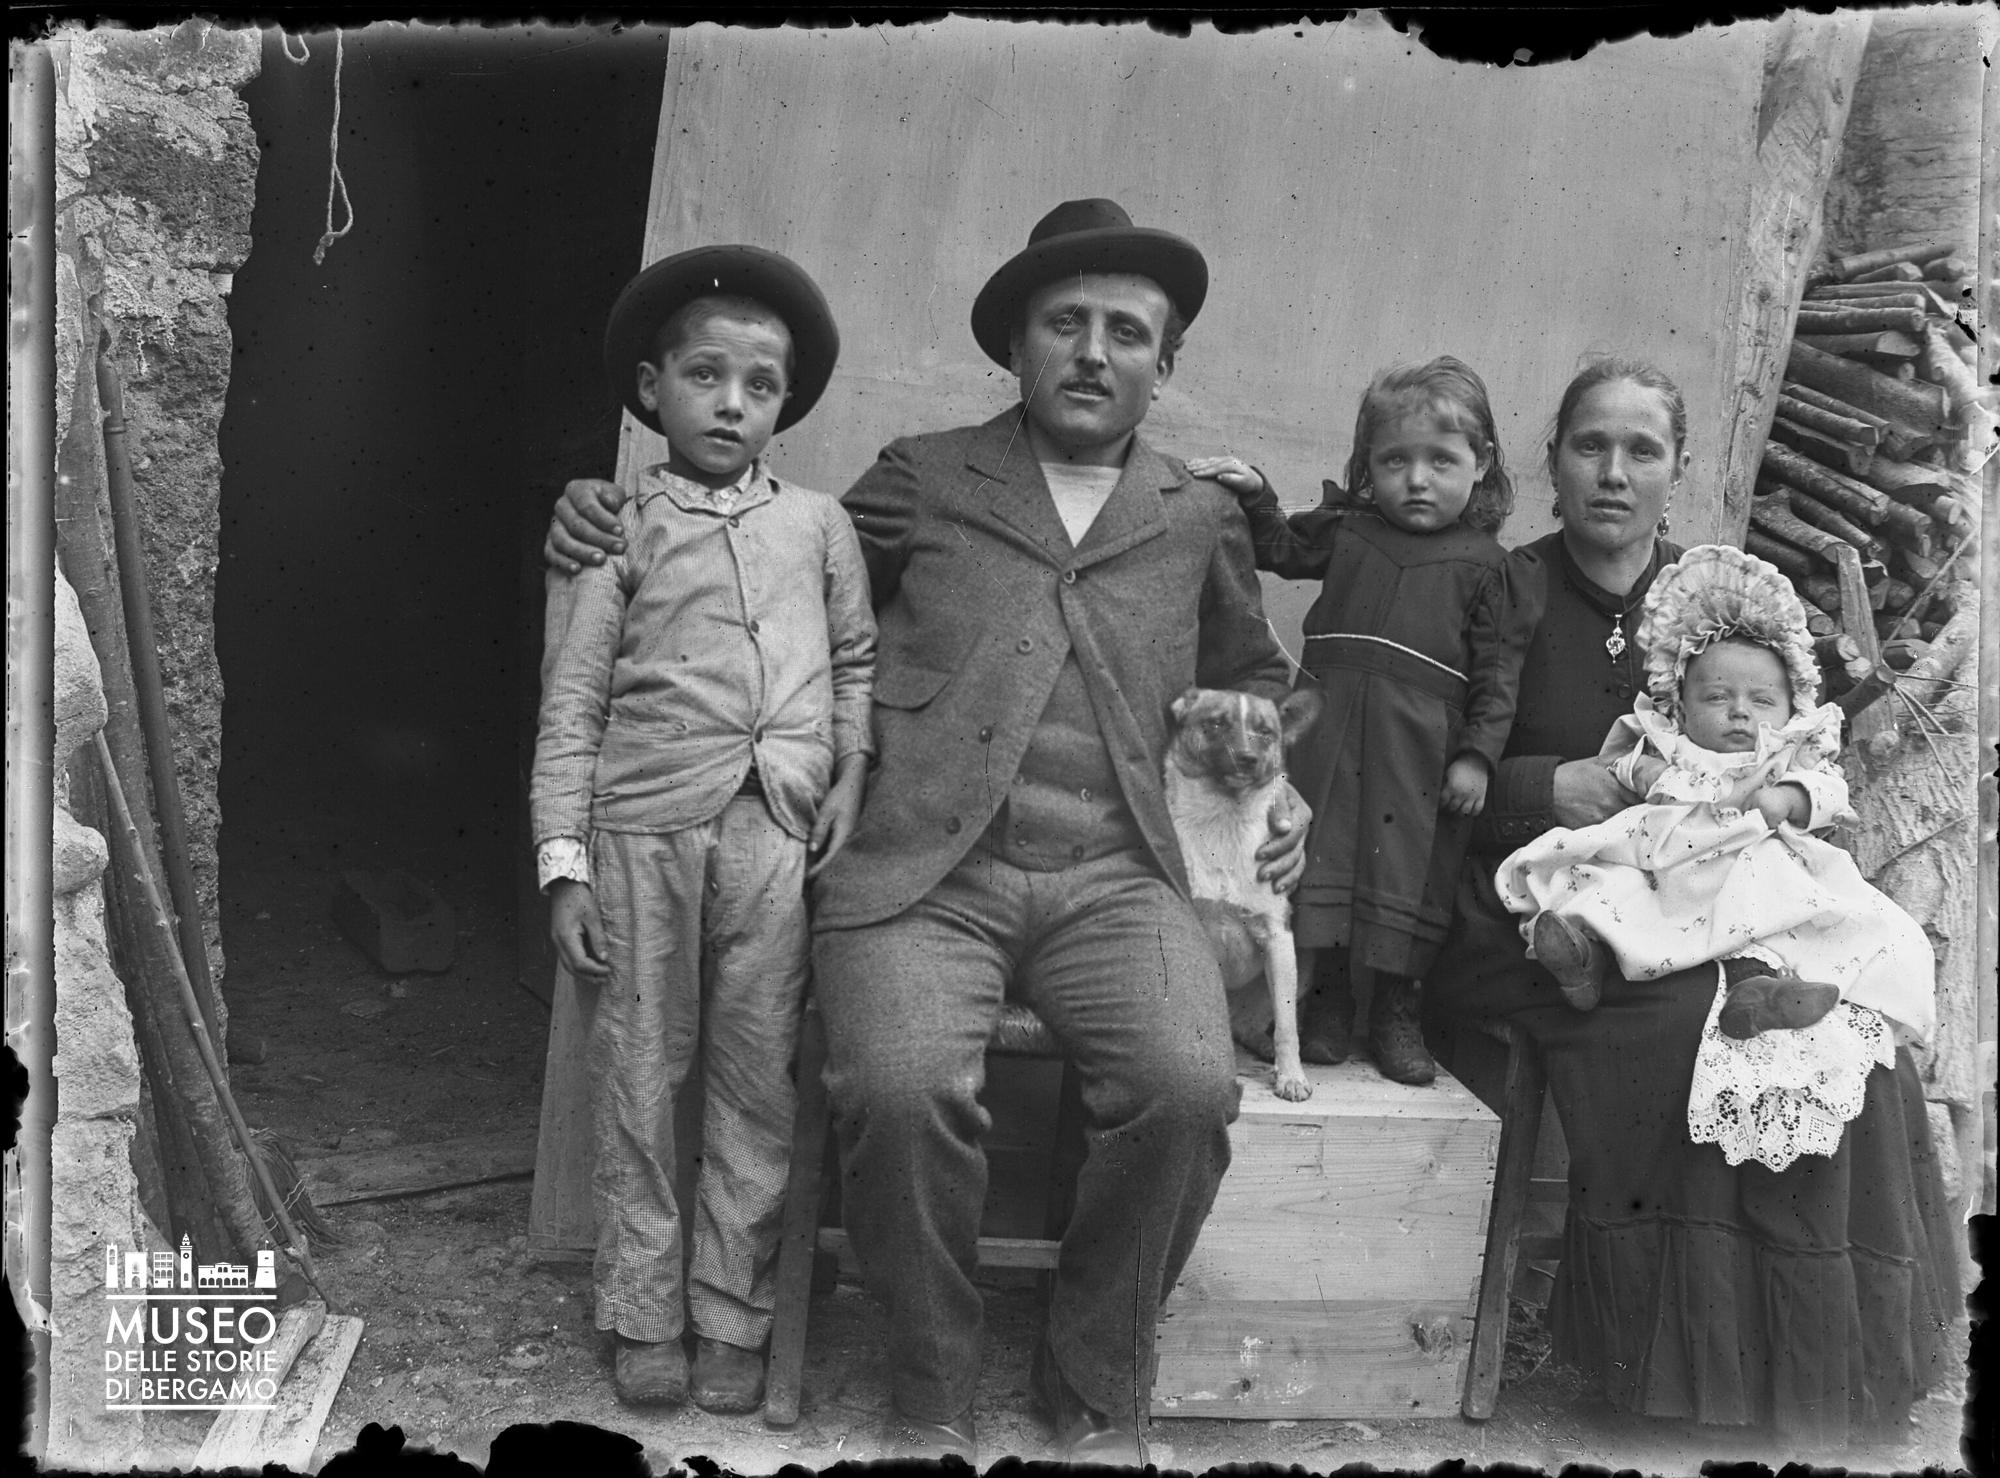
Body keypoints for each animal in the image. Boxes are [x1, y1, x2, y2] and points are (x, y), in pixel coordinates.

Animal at [1168, 684, 1320, 1096]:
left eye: (1265, 732)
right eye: (1217, 723)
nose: (1247, 758)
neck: (1224, 817)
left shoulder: (1278, 938)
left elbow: (1287, 1027)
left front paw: (1292, 1077)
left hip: (1303, 965)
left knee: (1259, 1024)